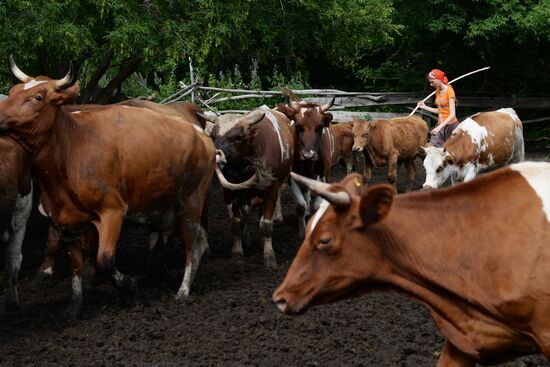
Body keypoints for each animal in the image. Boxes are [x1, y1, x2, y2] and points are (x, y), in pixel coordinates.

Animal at [0, 56, 216, 320]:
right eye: (13, 91)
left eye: (38, 97)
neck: (70, 150)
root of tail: (200, 134)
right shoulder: (67, 223)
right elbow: (75, 264)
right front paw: (74, 306)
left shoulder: (112, 212)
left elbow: (105, 259)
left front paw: (129, 285)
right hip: (165, 208)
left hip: (191, 206)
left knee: (193, 247)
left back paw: (183, 291)